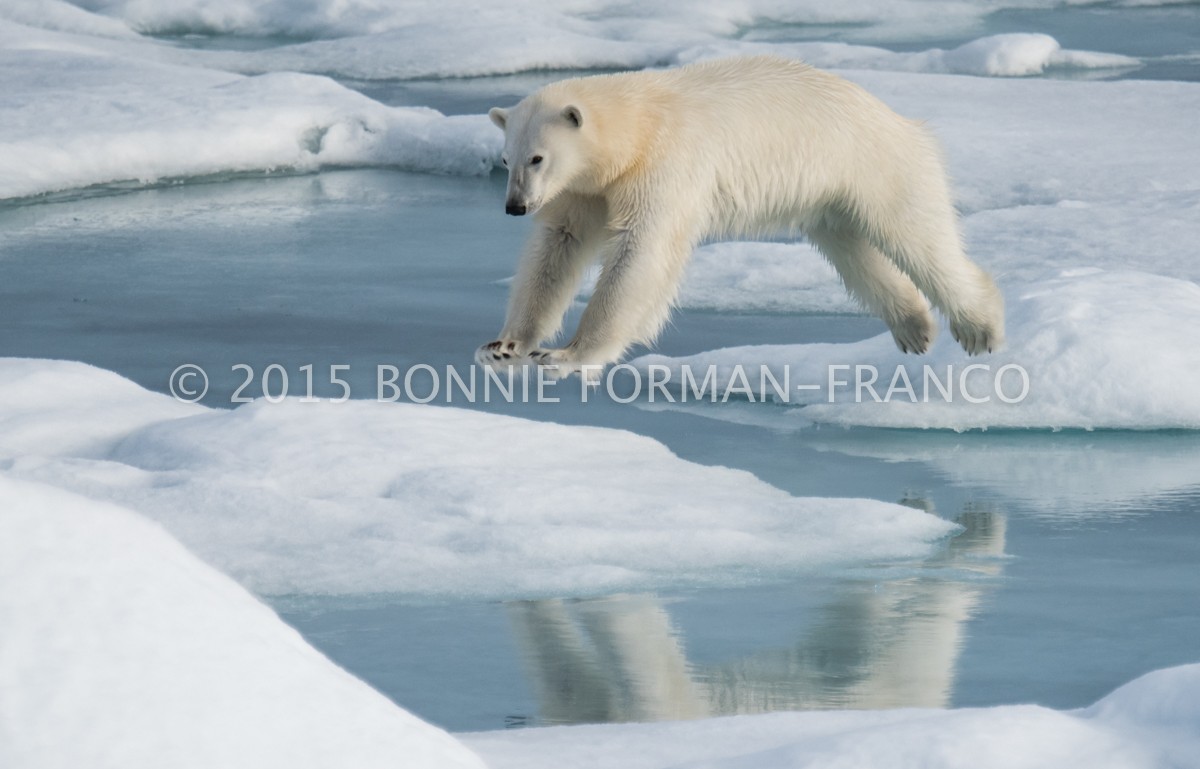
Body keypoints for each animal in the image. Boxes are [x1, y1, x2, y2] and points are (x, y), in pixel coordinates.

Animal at [477, 55, 1004, 379]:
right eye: (506, 159)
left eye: (538, 158)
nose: (514, 206)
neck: (639, 124)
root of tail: (901, 121)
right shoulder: (586, 188)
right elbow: (558, 245)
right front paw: (503, 347)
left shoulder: (666, 165)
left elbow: (641, 252)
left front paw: (565, 356)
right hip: (830, 198)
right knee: (854, 250)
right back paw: (915, 327)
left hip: (875, 164)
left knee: (916, 235)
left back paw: (981, 327)